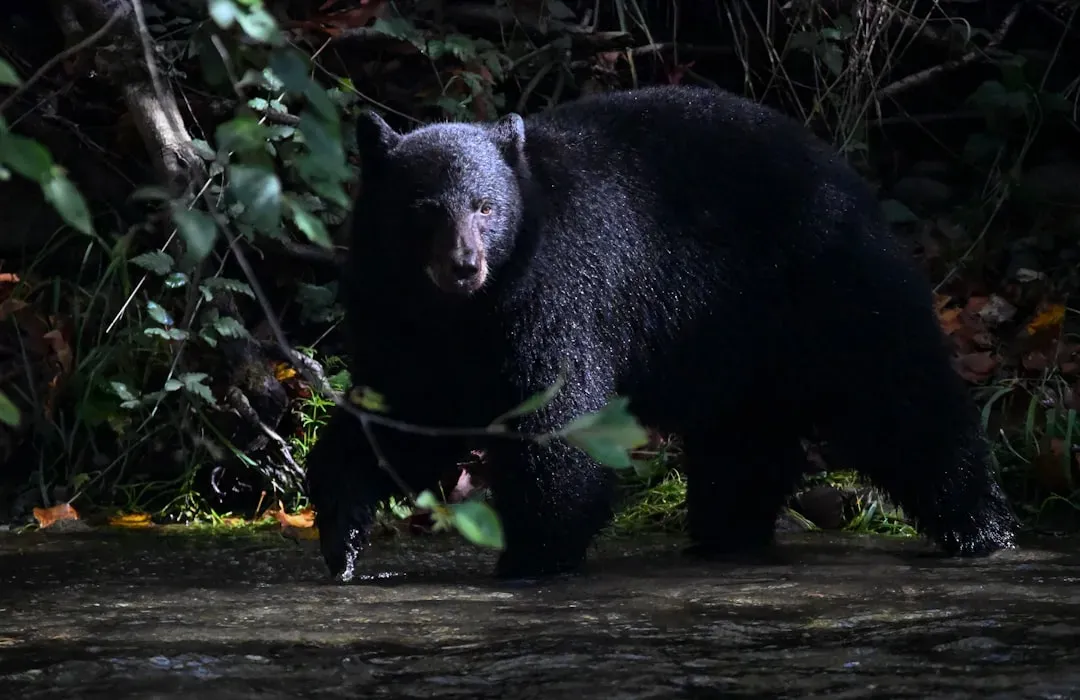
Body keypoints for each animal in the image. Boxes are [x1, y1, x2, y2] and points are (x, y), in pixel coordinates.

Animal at [304, 84, 1018, 583]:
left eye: (485, 207)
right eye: (425, 210)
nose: (463, 266)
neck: (461, 313)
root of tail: (844, 173)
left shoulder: (553, 295)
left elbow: (560, 421)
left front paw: (532, 557)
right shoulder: (405, 327)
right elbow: (400, 419)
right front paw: (343, 535)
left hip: (828, 288)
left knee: (904, 401)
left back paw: (983, 530)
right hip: (741, 345)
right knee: (744, 441)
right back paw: (726, 532)